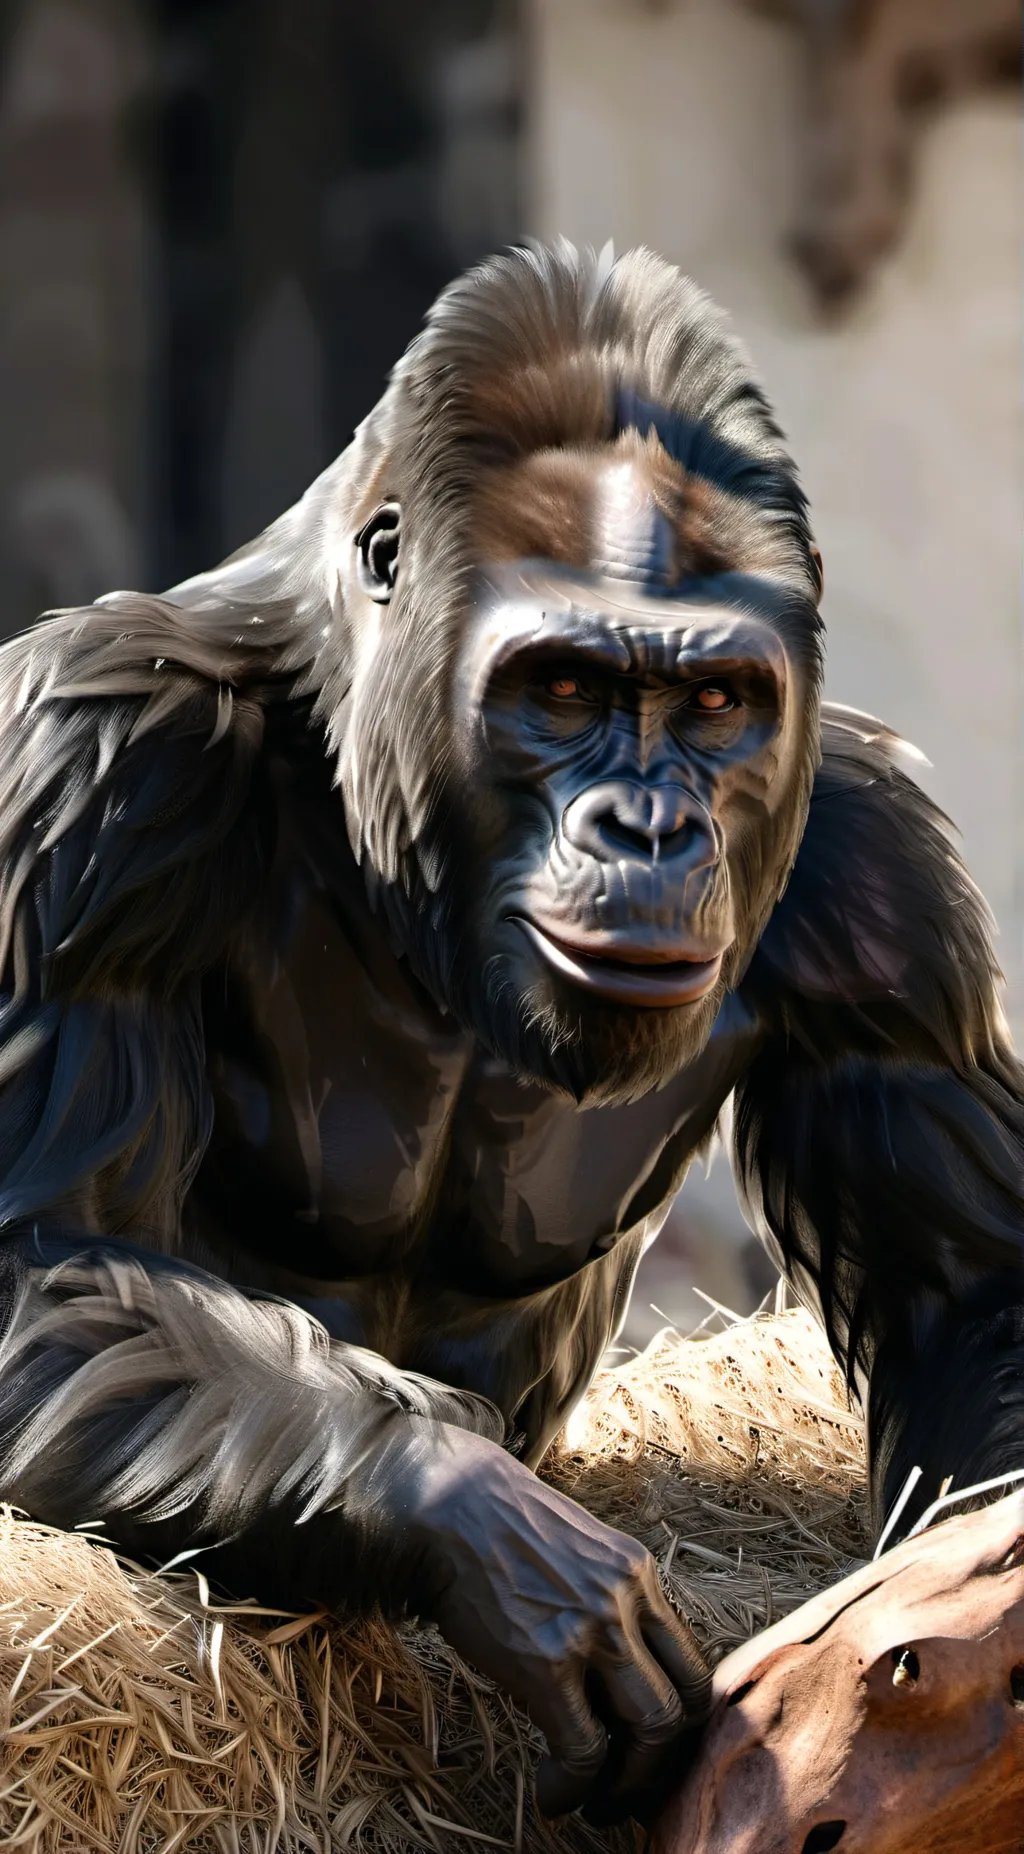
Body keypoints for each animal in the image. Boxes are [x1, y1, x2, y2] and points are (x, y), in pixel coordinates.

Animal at [0, 243, 1021, 1825]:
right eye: (564, 688)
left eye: (714, 701)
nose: (649, 824)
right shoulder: (97, 764)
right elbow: (46, 1252)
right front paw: (483, 1526)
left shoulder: (884, 877)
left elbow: (973, 1298)